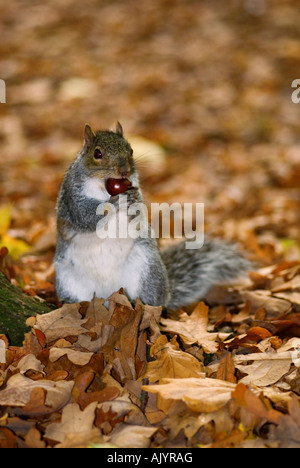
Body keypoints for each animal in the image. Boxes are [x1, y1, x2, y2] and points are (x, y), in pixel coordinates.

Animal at [54, 122, 251, 308]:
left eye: (131, 150)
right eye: (97, 154)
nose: (124, 170)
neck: (102, 187)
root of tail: (107, 295)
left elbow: (138, 210)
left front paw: (132, 200)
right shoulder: (72, 197)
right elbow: (85, 216)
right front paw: (114, 202)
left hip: (147, 269)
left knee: (152, 302)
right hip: (68, 279)